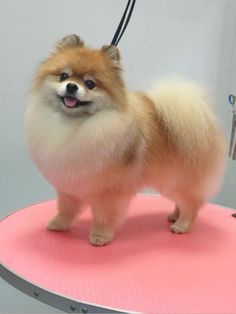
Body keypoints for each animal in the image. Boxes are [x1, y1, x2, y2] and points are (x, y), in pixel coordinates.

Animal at [24, 33, 226, 245]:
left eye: (90, 84)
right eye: (63, 76)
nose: (71, 86)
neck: (75, 125)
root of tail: (205, 121)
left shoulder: (109, 190)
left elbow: (103, 215)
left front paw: (100, 236)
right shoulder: (69, 184)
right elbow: (65, 208)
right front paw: (59, 224)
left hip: (178, 180)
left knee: (192, 204)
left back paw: (182, 225)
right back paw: (174, 216)